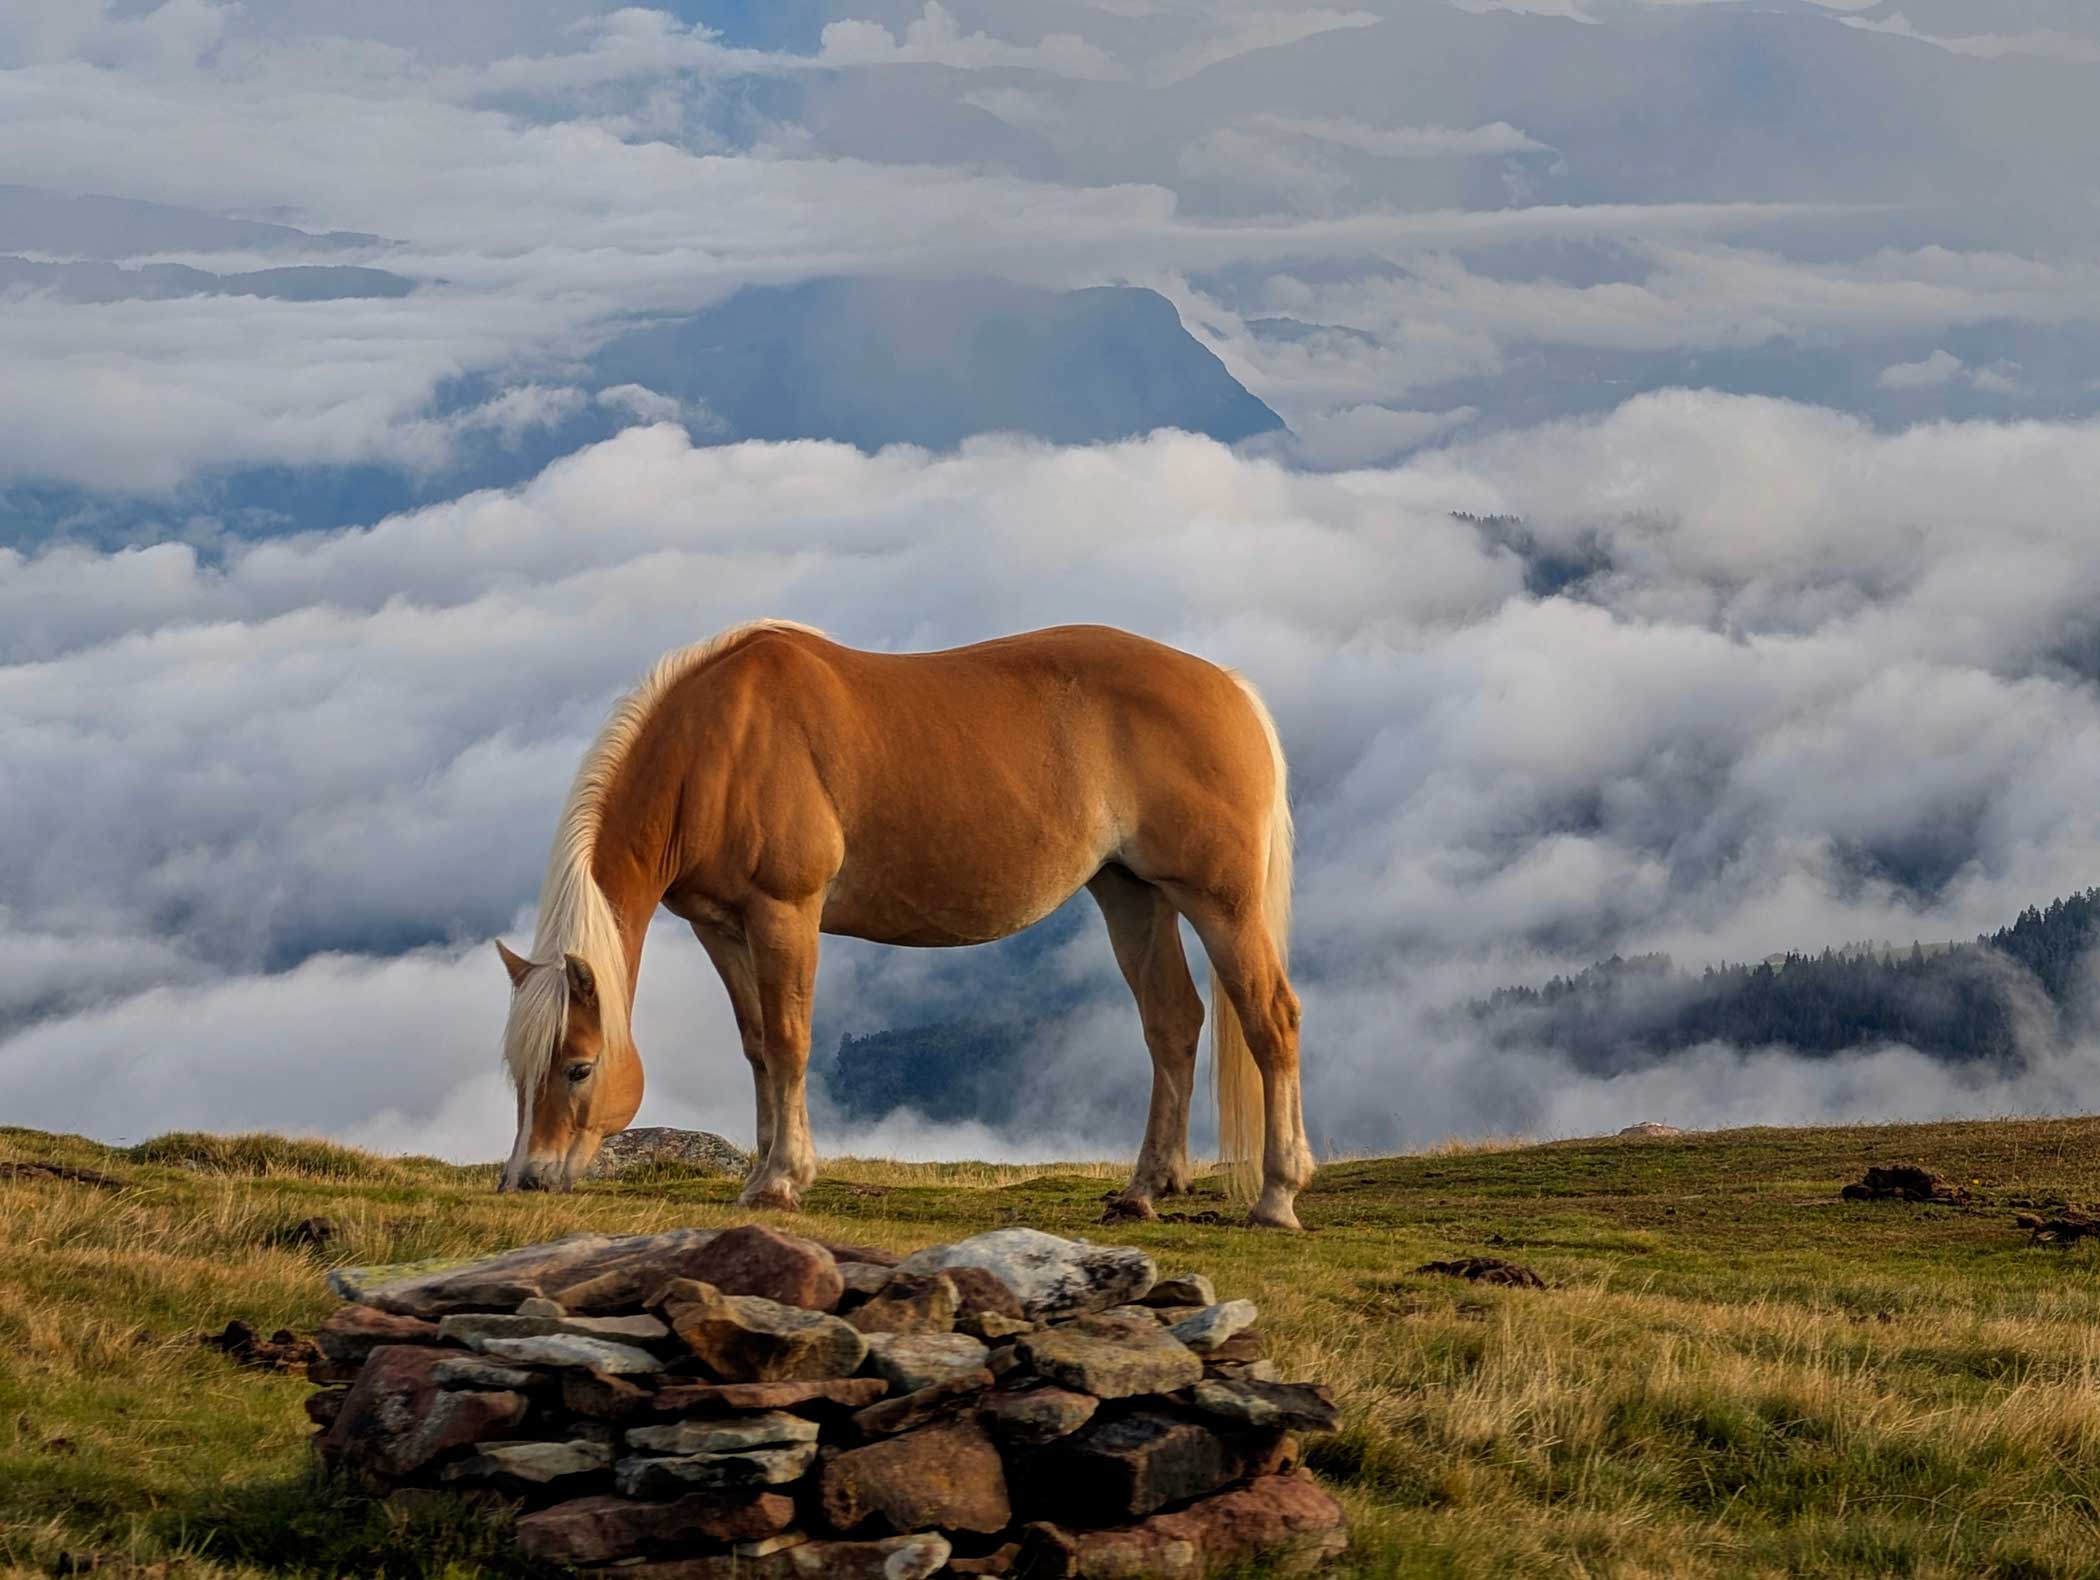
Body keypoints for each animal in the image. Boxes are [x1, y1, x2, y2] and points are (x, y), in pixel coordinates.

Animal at [494, 620, 1312, 1228]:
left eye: (579, 1067)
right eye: (517, 1071)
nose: (528, 1179)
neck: (720, 745)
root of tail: (1229, 689)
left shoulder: (785, 913)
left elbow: (789, 1040)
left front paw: (781, 1180)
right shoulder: (720, 928)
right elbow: (757, 1047)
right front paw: (761, 1170)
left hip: (1221, 903)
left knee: (1270, 1019)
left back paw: (1276, 1197)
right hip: (1132, 895)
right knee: (1172, 1022)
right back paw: (1144, 1190)